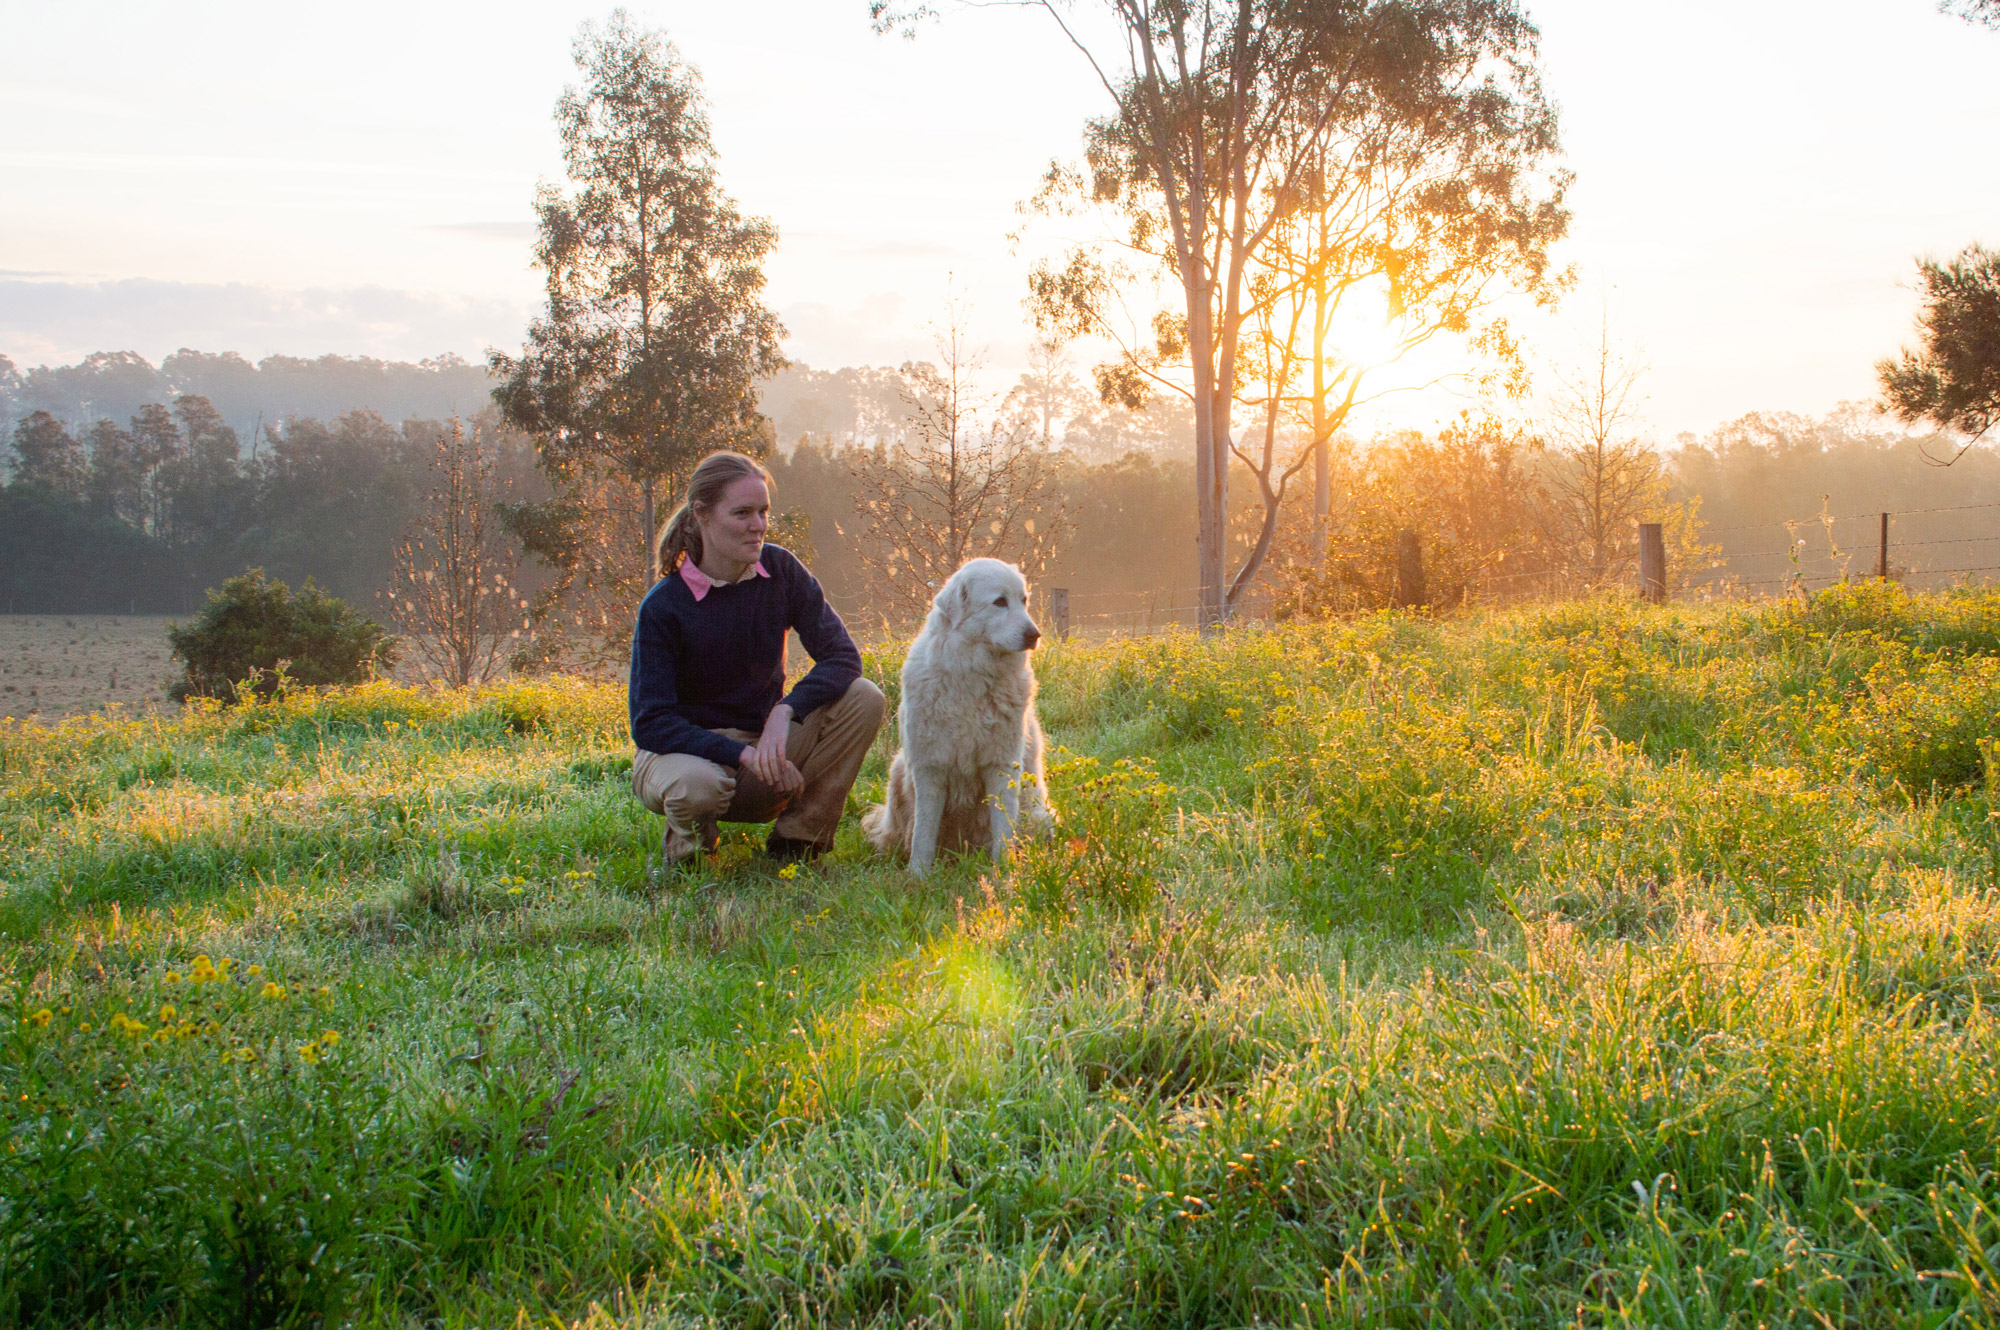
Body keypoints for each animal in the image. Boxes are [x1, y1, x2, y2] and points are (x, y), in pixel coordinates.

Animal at [864, 556, 1056, 876]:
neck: (972, 677)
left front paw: (1004, 872)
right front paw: (918, 875)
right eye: (999, 602)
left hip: (1038, 814)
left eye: (1024, 601)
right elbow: (923, 832)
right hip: (899, 769)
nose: (1035, 635)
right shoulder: (929, 767)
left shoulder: (1001, 766)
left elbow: (1003, 827)